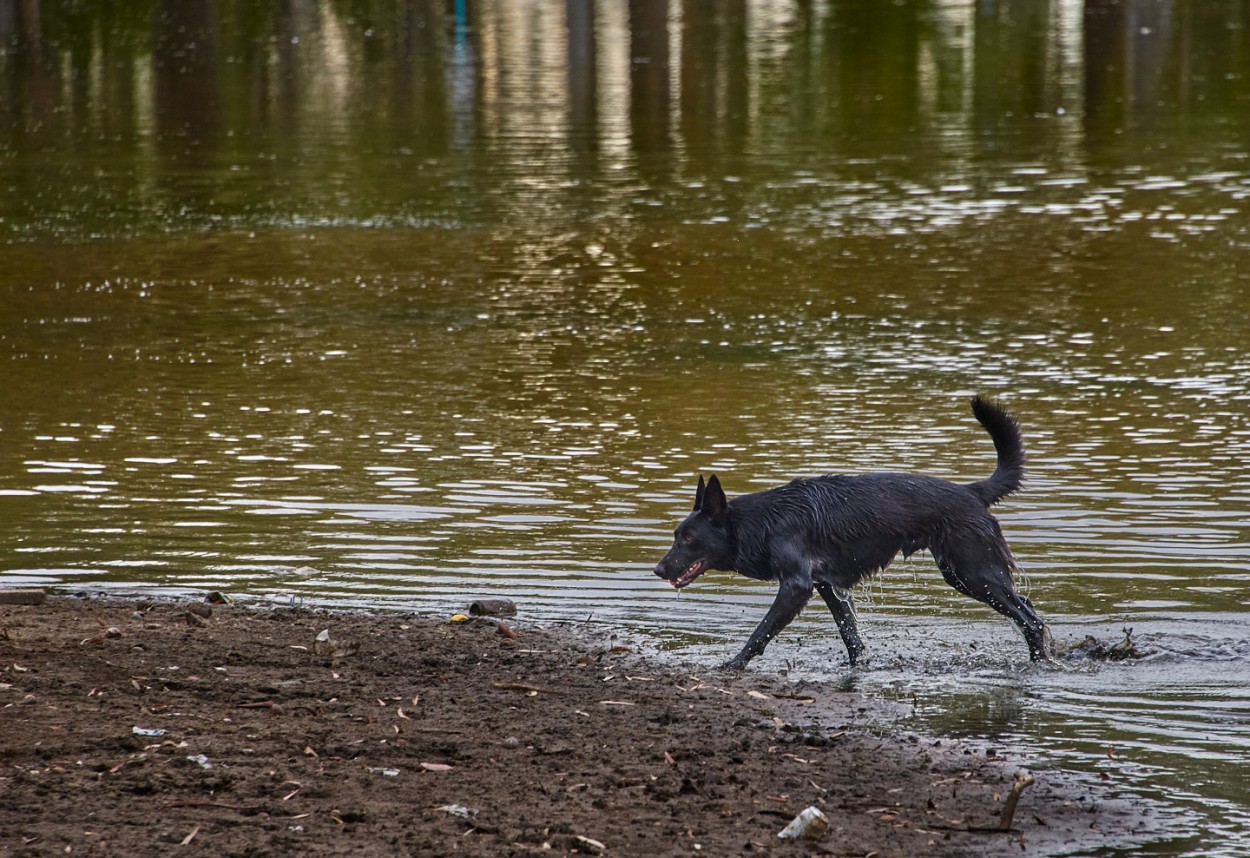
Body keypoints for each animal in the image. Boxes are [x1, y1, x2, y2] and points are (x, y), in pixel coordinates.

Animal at [655, 397, 1055, 670]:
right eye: (676, 534)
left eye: (688, 538)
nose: (658, 570)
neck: (764, 522)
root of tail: (972, 491)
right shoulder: (828, 585)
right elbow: (851, 636)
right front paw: (857, 666)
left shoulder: (797, 586)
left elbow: (760, 632)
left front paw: (734, 664)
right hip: (964, 575)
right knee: (1027, 607)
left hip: (975, 572)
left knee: (1031, 620)